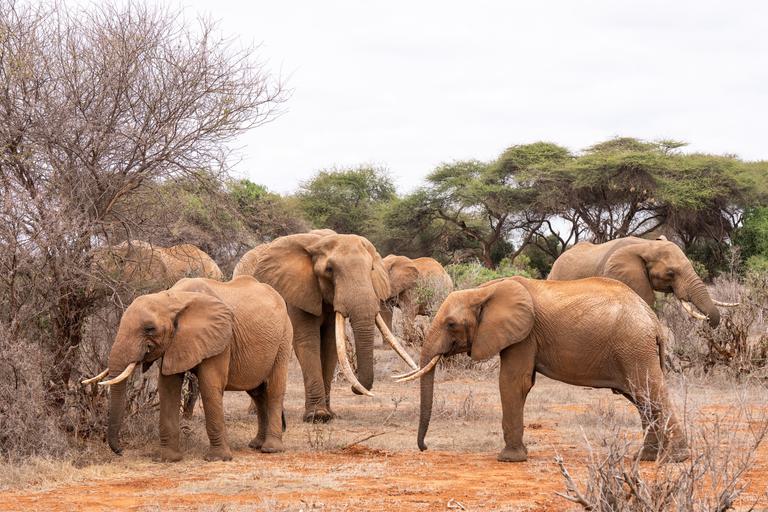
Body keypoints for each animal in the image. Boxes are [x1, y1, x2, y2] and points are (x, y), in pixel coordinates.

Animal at [82, 276, 292, 461]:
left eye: (149, 329)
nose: (121, 451)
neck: (172, 298)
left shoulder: (221, 339)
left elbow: (210, 387)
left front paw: (217, 459)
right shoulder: (174, 343)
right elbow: (168, 388)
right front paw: (169, 459)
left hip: (284, 337)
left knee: (274, 390)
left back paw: (270, 449)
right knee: (257, 393)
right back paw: (256, 444)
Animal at [233, 232, 417, 422]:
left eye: (371, 269)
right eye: (329, 269)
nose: (355, 388)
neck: (320, 242)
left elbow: (330, 345)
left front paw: (330, 414)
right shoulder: (299, 291)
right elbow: (307, 341)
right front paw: (318, 416)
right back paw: (256, 413)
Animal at [398, 276, 690, 463]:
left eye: (450, 324)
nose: (425, 447)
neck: (483, 291)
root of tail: (653, 320)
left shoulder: (524, 335)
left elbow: (513, 382)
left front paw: (509, 459)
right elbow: (521, 384)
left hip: (633, 346)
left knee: (648, 392)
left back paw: (675, 459)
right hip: (634, 349)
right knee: (642, 398)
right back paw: (646, 458)